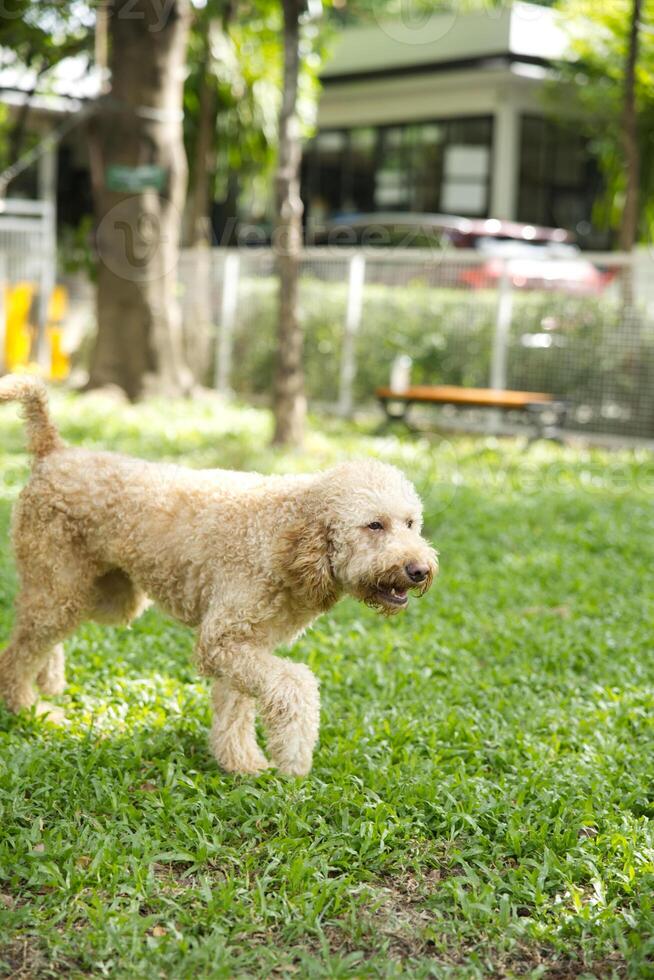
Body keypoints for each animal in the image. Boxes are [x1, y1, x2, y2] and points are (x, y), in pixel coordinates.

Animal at [0, 378, 440, 776]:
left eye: (411, 523)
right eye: (374, 525)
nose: (419, 570)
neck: (283, 535)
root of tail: (54, 451)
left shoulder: (244, 647)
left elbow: (235, 707)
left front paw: (241, 763)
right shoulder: (222, 639)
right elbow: (295, 683)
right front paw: (293, 756)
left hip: (105, 597)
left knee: (43, 633)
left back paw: (49, 678)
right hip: (60, 583)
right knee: (21, 647)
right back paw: (27, 704)